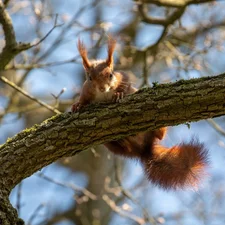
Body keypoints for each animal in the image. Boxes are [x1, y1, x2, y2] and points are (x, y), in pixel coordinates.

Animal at [71, 37, 208, 190]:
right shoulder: (86, 91)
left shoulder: (122, 78)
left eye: (111, 75)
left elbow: (124, 85)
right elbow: (83, 100)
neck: (103, 95)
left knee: (160, 136)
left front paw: (118, 94)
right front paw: (77, 105)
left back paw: (158, 129)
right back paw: (123, 141)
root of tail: (143, 149)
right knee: (124, 147)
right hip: (110, 144)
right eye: (89, 78)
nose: (102, 88)